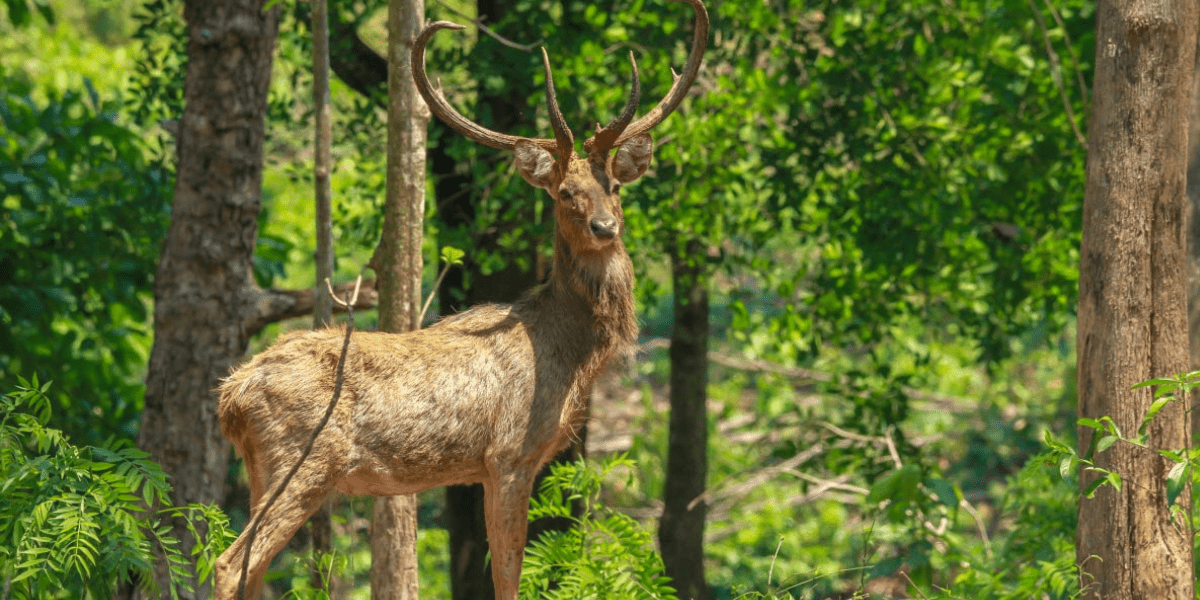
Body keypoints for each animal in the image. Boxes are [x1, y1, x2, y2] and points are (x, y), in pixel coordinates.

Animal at [211, 1, 707, 598]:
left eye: (613, 185)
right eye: (566, 193)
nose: (604, 227)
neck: (570, 356)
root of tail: (231, 395)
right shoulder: (509, 454)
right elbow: (508, 575)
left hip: (262, 466)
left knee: (251, 569)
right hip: (302, 460)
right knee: (230, 563)